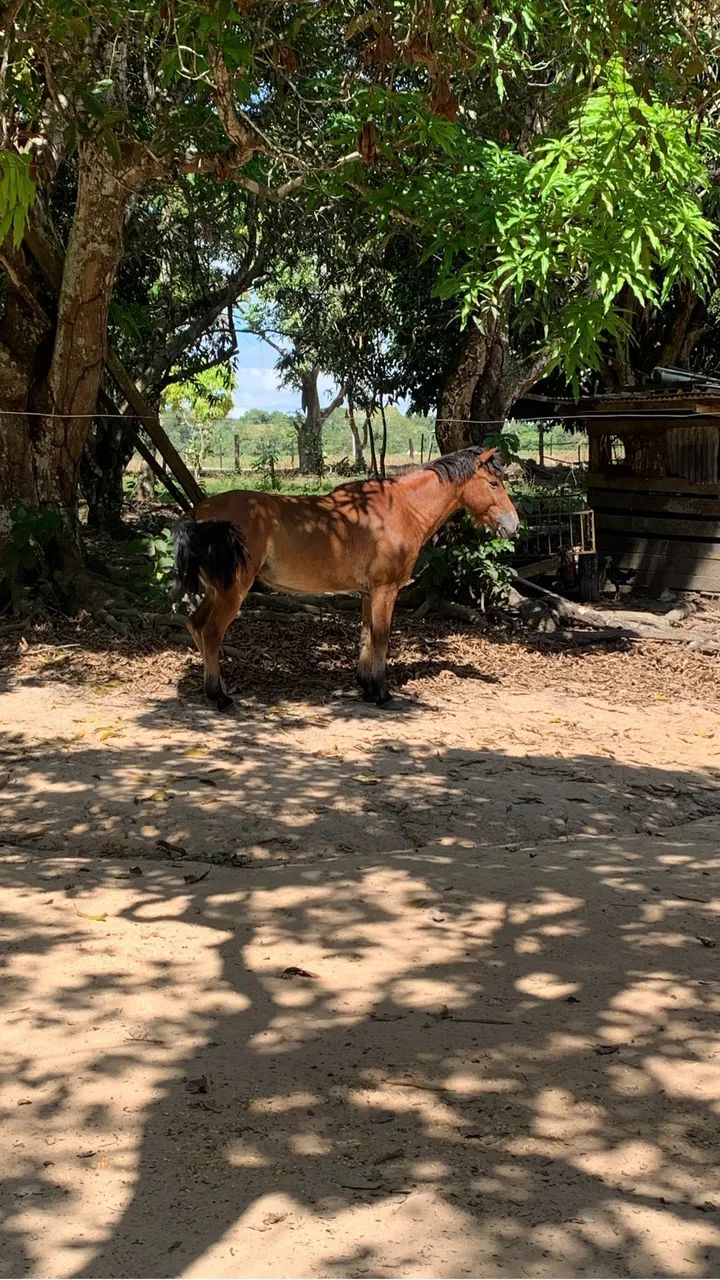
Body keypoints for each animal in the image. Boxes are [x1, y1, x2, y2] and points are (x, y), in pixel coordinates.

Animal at [173, 445, 519, 710]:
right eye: (493, 483)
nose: (513, 525)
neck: (400, 509)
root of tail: (198, 513)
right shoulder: (385, 590)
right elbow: (381, 637)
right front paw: (382, 693)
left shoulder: (368, 593)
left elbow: (366, 636)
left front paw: (366, 687)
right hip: (232, 592)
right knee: (211, 633)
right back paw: (219, 697)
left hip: (216, 591)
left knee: (196, 626)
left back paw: (215, 688)